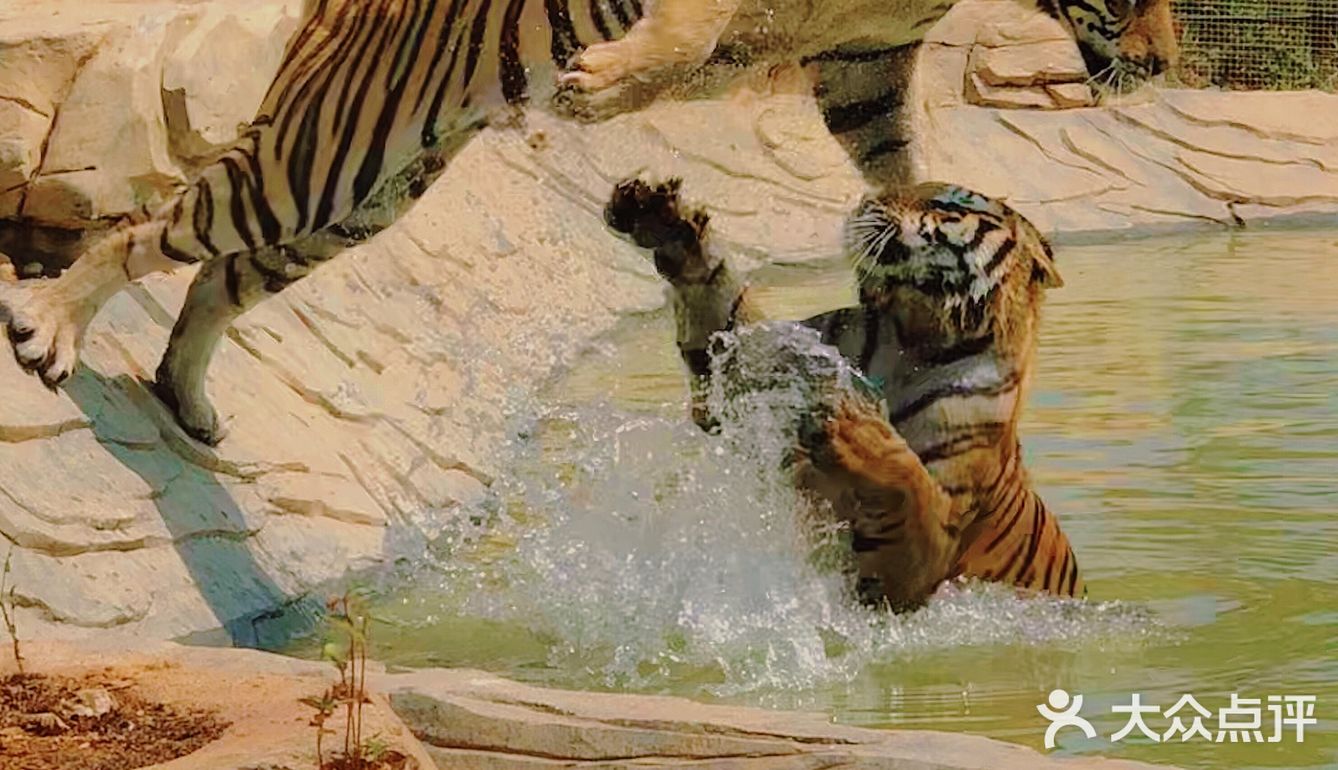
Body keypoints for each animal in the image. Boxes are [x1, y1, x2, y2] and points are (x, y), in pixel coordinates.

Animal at [0, 0, 1175, 445]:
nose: (1166, 63)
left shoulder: (865, 60)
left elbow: (900, 160)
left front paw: (927, 215)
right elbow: (689, 30)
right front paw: (601, 87)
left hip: (357, 200)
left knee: (217, 273)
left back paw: (188, 400)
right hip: (319, 159)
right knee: (145, 233)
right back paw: (49, 327)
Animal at [604, 176, 1081, 609]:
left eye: (948, 203)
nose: (871, 199)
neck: (911, 339)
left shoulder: (919, 567)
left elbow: (913, 488)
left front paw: (858, 432)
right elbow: (726, 312)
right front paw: (665, 223)